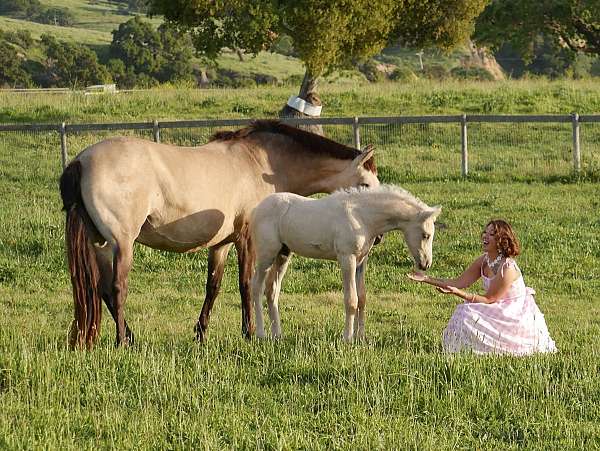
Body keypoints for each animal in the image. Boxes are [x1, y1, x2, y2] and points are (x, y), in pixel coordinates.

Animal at [58, 120, 378, 350]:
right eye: (364, 184)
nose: (376, 238)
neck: (262, 163)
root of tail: (81, 161)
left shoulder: (221, 244)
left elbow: (213, 287)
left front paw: (201, 334)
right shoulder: (246, 239)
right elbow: (246, 285)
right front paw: (249, 332)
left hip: (100, 243)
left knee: (102, 291)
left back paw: (124, 337)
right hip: (121, 244)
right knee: (117, 289)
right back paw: (123, 342)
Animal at [248, 185, 440, 340]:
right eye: (426, 235)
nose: (426, 264)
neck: (362, 217)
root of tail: (256, 209)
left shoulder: (361, 261)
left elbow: (362, 298)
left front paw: (360, 337)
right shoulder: (347, 258)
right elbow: (351, 300)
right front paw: (347, 338)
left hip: (283, 254)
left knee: (272, 290)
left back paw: (277, 334)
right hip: (267, 255)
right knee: (256, 287)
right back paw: (261, 334)